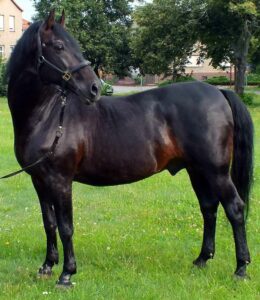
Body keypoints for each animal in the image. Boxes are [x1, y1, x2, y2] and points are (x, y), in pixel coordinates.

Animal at [6, 9, 254, 286]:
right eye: (59, 46)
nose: (95, 88)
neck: (48, 116)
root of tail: (219, 92)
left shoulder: (60, 180)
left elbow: (66, 226)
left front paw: (67, 274)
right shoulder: (39, 180)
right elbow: (49, 223)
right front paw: (47, 266)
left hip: (216, 171)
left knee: (235, 209)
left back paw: (241, 268)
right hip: (197, 170)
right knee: (209, 208)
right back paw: (202, 259)